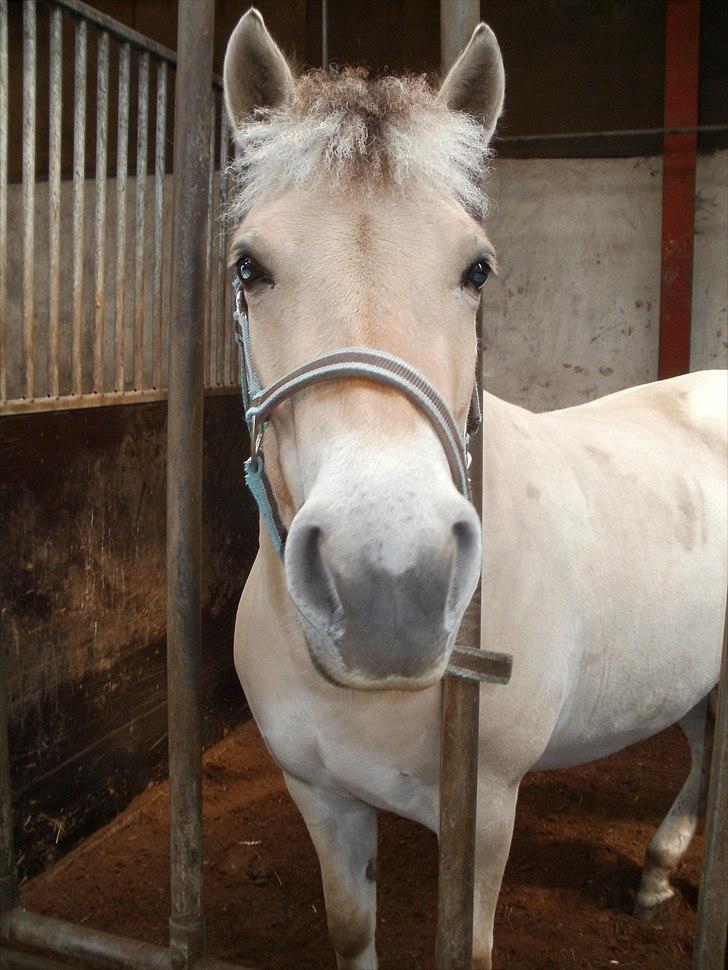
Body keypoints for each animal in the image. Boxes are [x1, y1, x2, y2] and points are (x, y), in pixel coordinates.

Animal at [223, 9, 727, 968]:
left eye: (478, 269)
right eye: (248, 267)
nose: (389, 584)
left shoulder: (485, 813)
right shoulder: (321, 798)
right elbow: (351, 931)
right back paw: (656, 871)